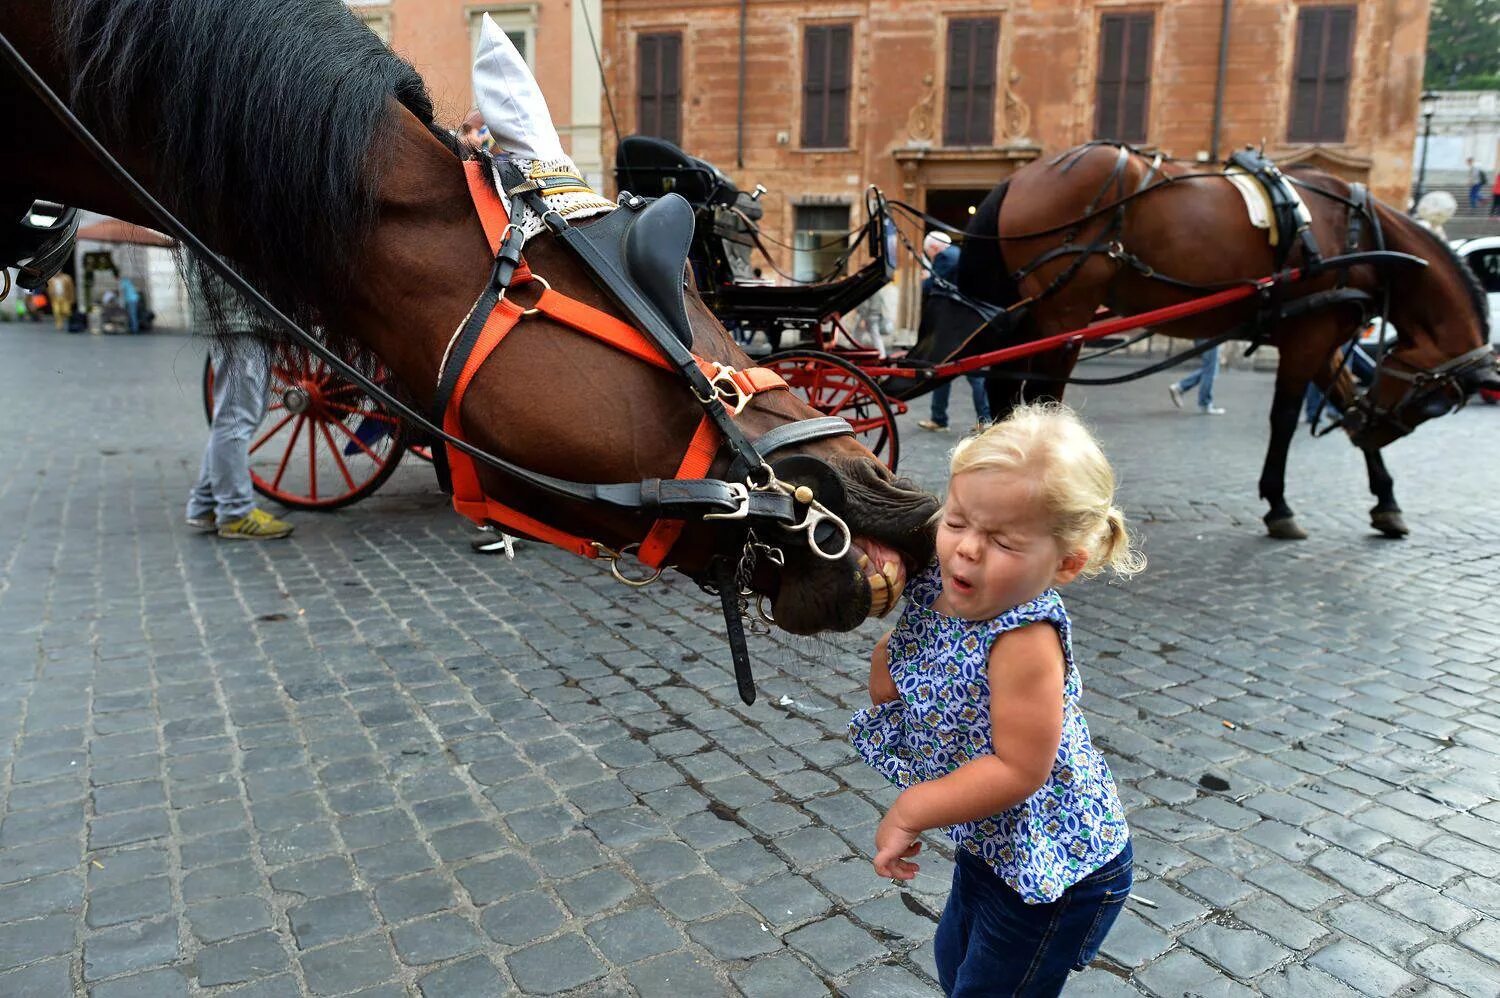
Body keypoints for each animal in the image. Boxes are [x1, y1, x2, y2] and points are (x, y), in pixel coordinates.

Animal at [954, 140, 1494, 537]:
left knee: (1005, 389)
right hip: (1064, 313)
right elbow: (1283, 420)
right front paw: (1280, 505)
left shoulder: (1320, 337)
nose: (1370, 430)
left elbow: (1339, 400)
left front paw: (1386, 499)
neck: (1361, 235)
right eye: (1435, 405)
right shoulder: (1310, 336)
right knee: (1038, 399)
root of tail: (1020, 177)